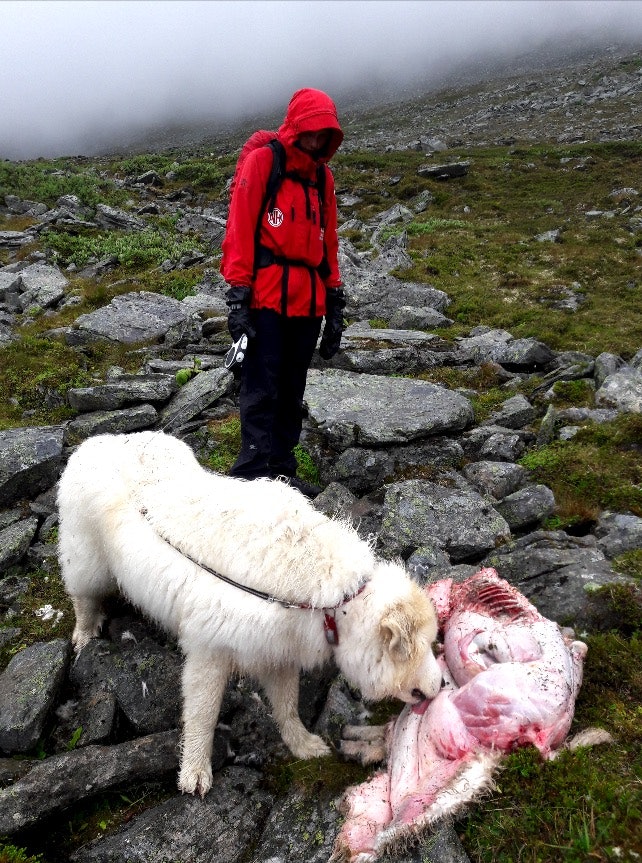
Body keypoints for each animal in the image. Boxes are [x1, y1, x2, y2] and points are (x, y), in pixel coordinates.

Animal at [57, 432, 440, 796]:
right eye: (414, 648)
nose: (439, 687)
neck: (331, 599)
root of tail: (98, 441)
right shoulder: (209, 650)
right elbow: (203, 713)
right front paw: (195, 772)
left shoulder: (277, 649)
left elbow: (286, 704)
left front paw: (303, 744)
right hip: (85, 556)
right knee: (83, 596)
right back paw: (85, 635)